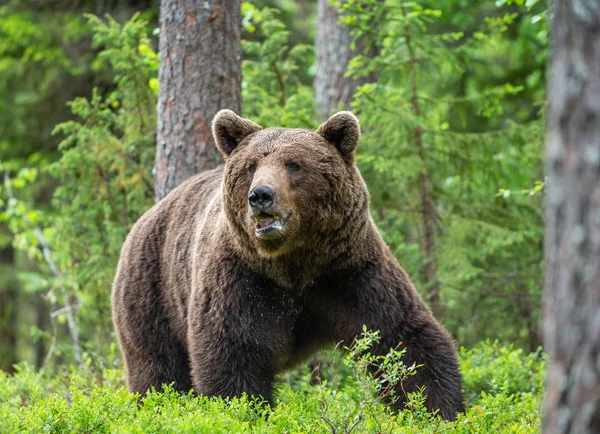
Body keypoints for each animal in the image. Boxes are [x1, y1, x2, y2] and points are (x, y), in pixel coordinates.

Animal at [110, 110, 462, 418]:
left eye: (294, 164)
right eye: (251, 165)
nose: (261, 195)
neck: (293, 263)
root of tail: (145, 218)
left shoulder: (349, 271)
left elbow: (402, 340)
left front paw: (440, 411)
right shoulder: (241, 279)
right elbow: (233, 357)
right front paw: (246, 411)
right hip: (152, 293)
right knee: (159, 371)